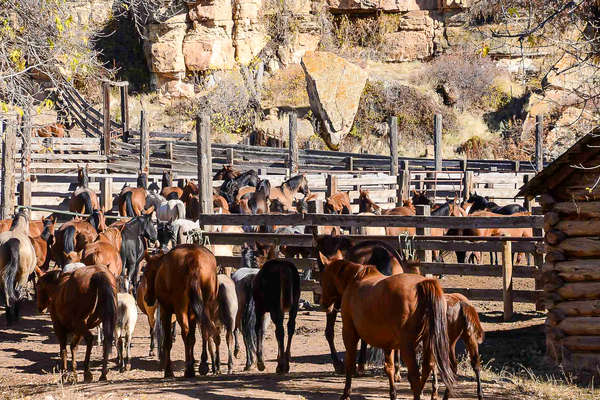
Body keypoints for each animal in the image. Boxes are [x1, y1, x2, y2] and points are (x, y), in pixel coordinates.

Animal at [142, 244, 218, 378]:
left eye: (146, 272)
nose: (147, 298)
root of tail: (193, 259)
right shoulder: (192, 313)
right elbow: (193, 338)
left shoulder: (165, 311)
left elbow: (167, 341)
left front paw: (168, 371)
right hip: (208, 304)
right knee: (205, 331)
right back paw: (202, 365)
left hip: (180, 307)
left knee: (185, 332)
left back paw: (189, 370)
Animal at [318, 260, 454, 400]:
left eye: (322, 279)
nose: (323, 304)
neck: (354, 280)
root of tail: (423, 284)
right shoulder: (388, 343)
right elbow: (389, 368)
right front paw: (393, 394)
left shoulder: (349, 333)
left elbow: (350, 363)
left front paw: (346, 393)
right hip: (428, 343)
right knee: (428, 367)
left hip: (408, 347)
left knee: (415, 376)